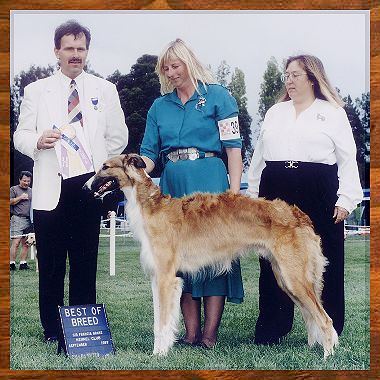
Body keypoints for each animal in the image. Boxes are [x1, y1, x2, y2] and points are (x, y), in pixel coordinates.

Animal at [91, 153, 338, 358]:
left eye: (105, 167)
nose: (86, 186)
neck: (150, 207)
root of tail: (300, 216)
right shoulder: (157, 278)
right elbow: (159, 321)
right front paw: (160, 351)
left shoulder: (166, 278)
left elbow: (162, 322)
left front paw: (159, 355)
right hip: (286, 278)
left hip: (294, 278)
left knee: (326, 319)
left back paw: (327, 356)